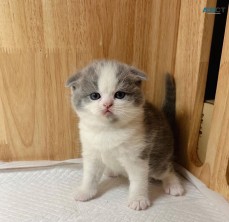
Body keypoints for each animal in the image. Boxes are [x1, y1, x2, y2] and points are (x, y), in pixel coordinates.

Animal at [65, 59, 183, 211]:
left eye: (119, 95)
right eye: (95, 96)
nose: (107, 104)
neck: (108, 130)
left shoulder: (137, 154)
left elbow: (138, 179)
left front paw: (138, 199)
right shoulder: (91, 151)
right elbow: (90, 175)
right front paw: (85, 191)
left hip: (158, 158)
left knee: (167, 168)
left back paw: (173, 184)